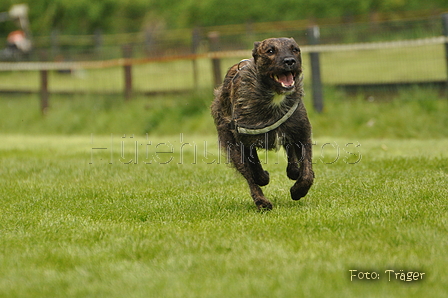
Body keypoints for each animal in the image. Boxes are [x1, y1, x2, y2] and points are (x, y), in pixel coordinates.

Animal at [211, 37, 314, 210]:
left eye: (295, 49)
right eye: (270, 51)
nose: (290, 61)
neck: (275, 96)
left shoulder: (301, 133)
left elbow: (307, 172)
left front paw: (298, 191)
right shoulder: (242, 140)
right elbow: (252, 171)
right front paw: (262, 180)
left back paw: (293, 170)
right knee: (249, 175)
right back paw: (262, 200)